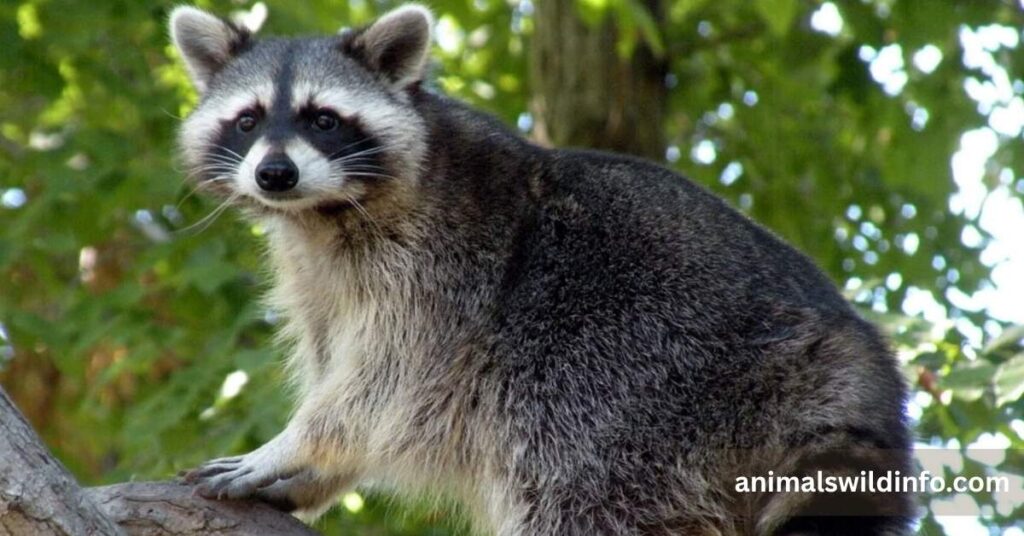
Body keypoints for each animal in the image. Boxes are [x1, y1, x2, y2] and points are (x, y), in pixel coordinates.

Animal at [170, 5, 914, 535]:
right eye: (248, 120)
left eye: (323, 119)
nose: (275, 173)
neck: (324, 212)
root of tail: (851, 359)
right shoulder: (317, 277)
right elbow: (344, 370)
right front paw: (315, 473)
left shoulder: (447, 268)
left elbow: (382, 388)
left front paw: (294, 446)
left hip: (634, 379)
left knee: (574, 484)